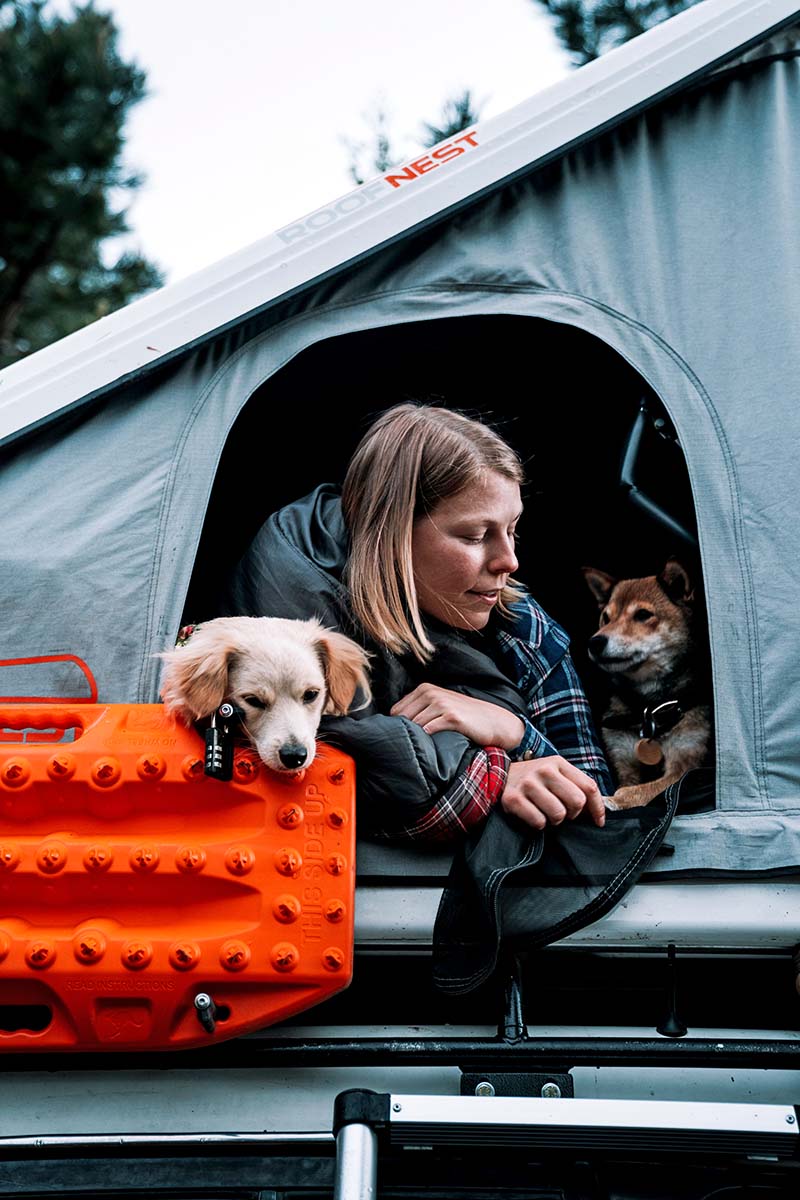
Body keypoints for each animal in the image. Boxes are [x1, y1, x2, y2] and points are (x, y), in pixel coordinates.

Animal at [582, 559, 714, 806]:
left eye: (643, 614)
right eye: (606, 617)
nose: (595, 642)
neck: (649, 708)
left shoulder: (684, 765)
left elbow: (636, 792)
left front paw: (612, 800)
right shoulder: (623, 760)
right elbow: (628, 784)